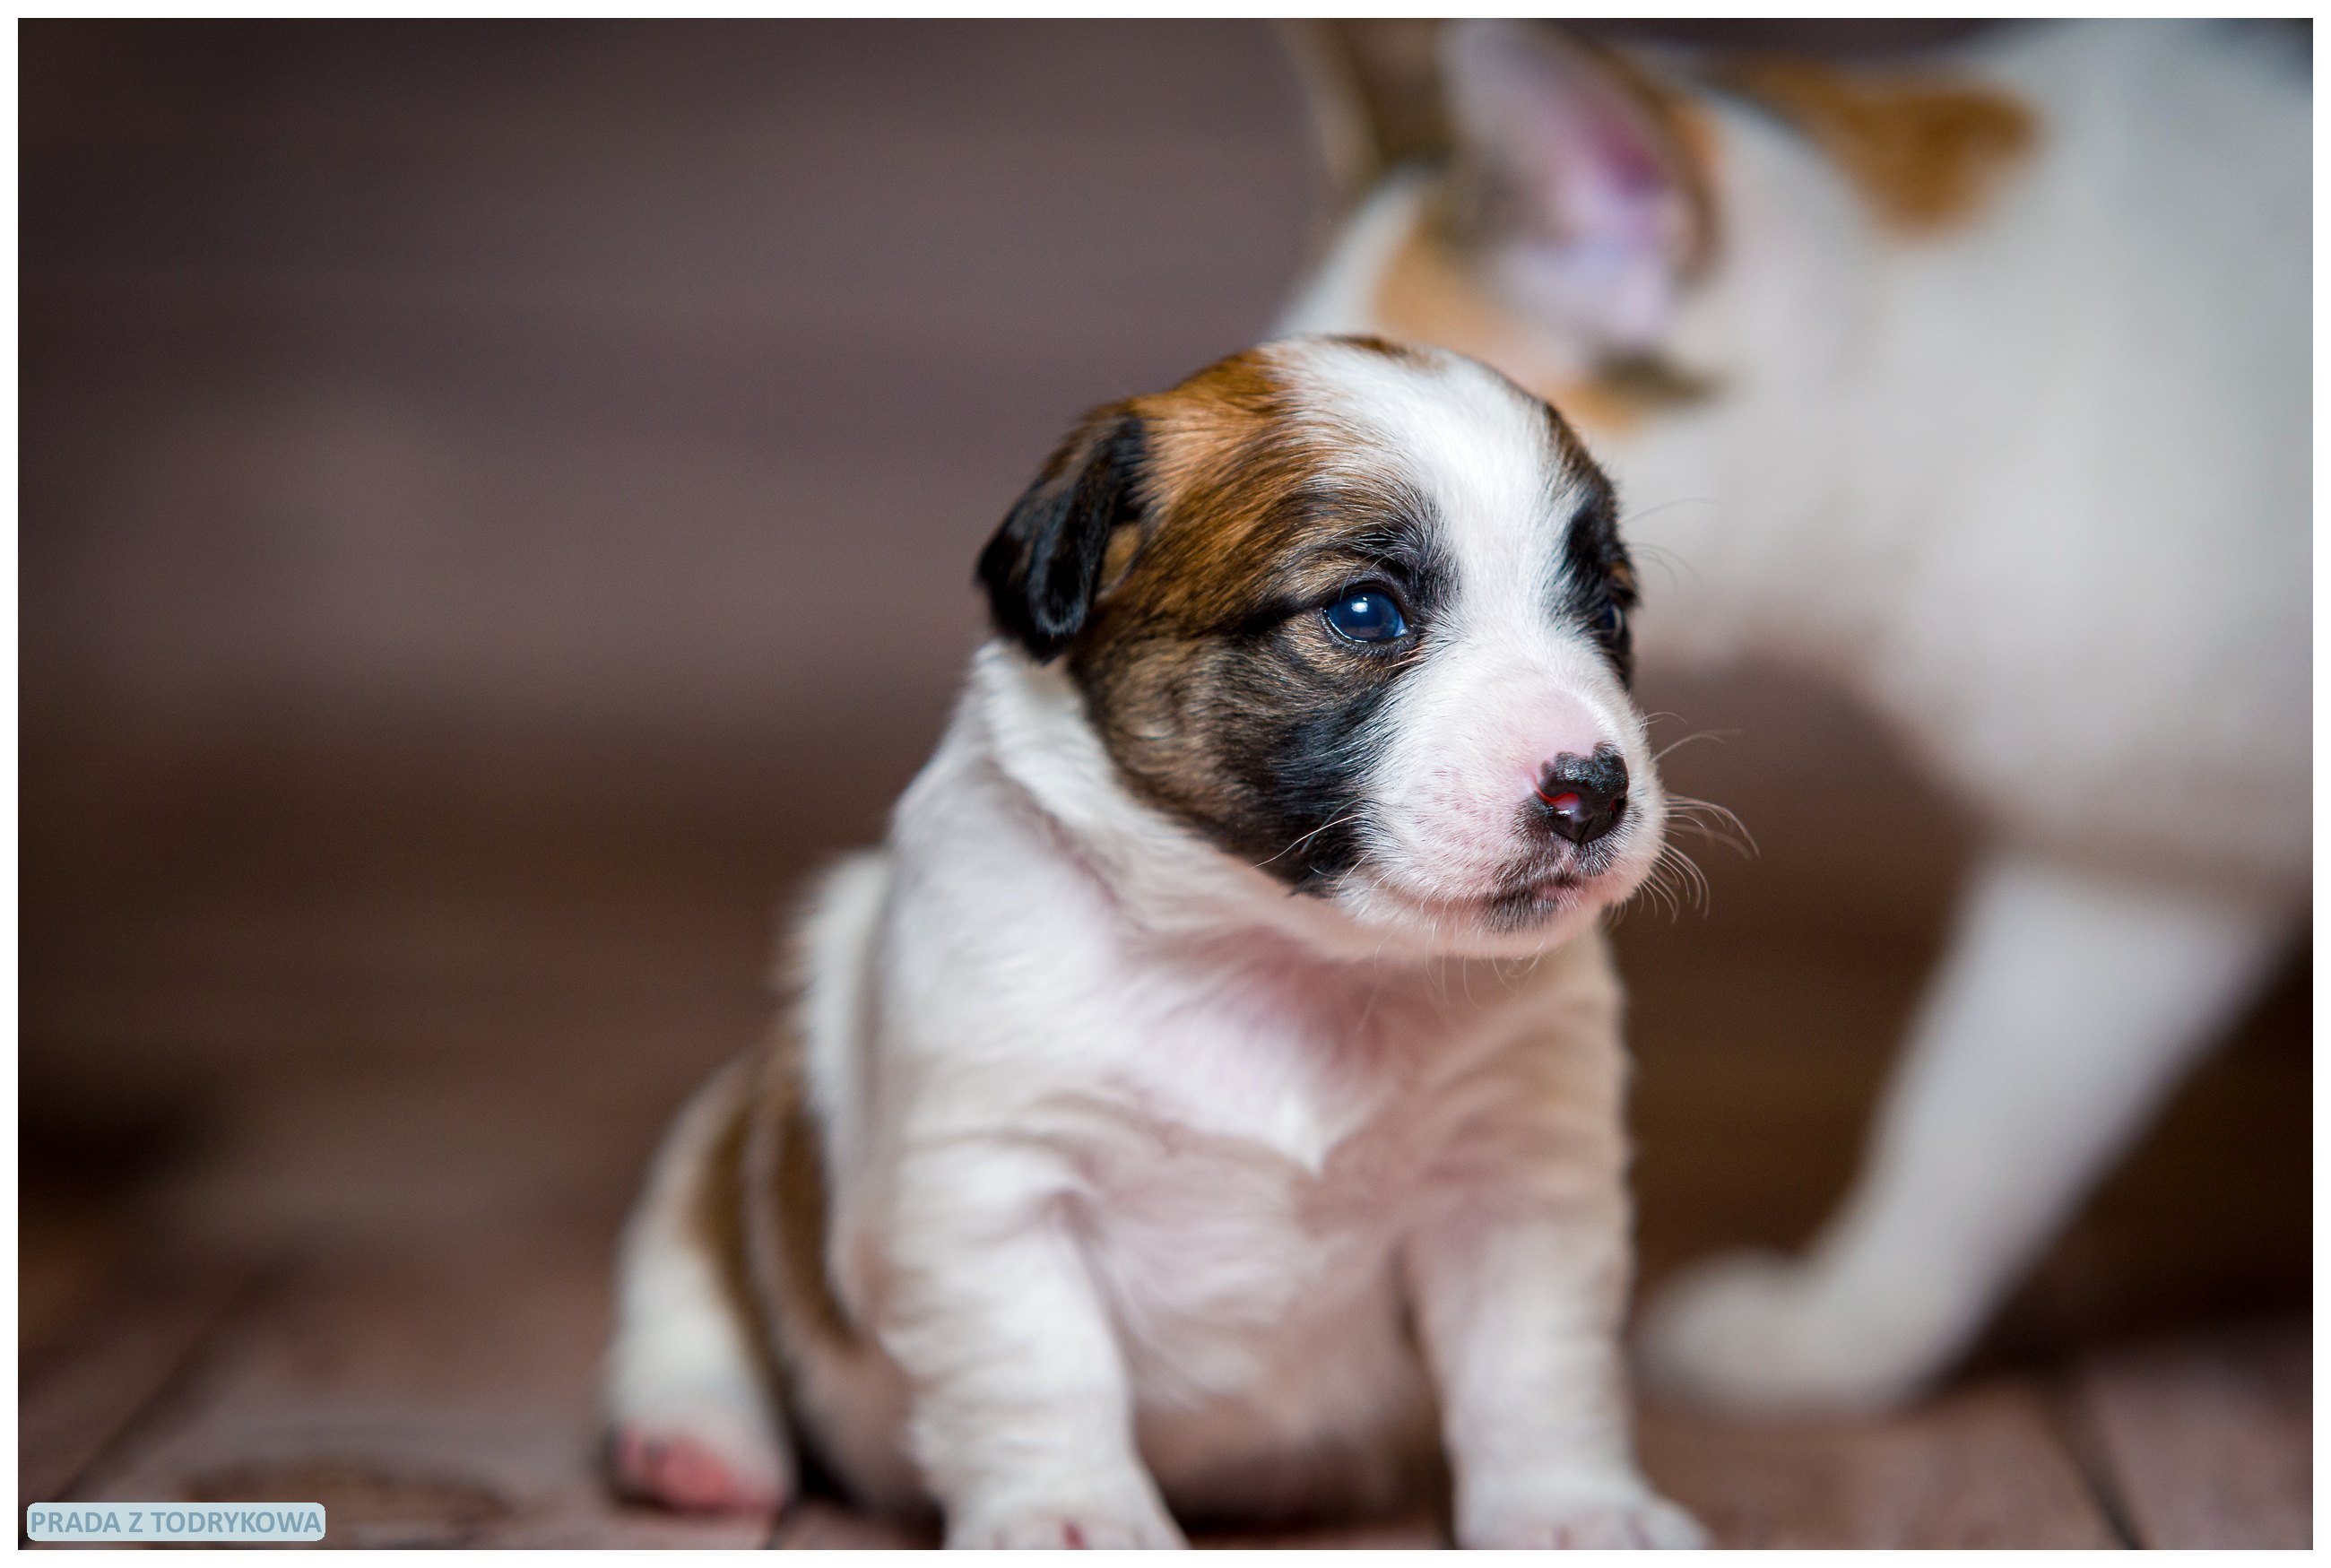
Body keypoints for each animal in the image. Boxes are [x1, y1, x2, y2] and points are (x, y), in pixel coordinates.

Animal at [601, 335, 1704, 1547]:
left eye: (1607, 610)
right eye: (1366, 612)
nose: (1591, 792)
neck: (1283, 956)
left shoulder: (1517, 1182)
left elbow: (1535, 1369)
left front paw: (1572, 1511)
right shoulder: (992, 1185)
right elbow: (1040, 1368)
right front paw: (1068, 1516)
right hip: (716, 1156)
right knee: (694, 1296)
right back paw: (695, 1447)